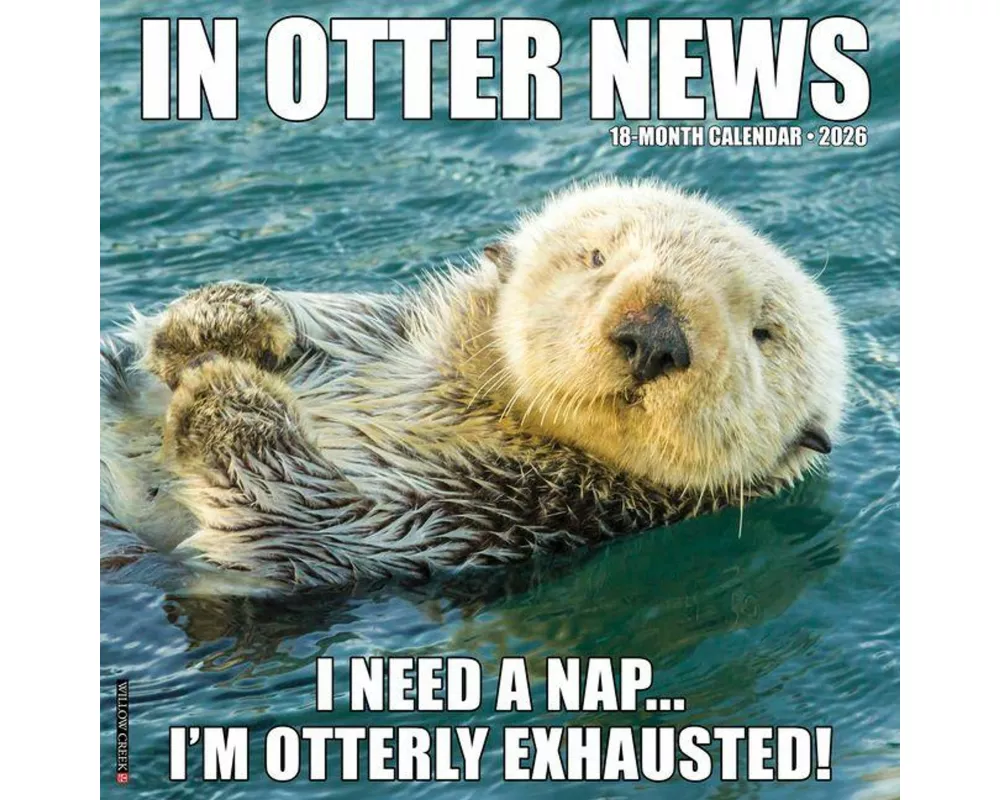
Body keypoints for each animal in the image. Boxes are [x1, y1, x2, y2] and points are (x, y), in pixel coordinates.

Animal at [100, 178, 847, 591]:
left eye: (764, 332)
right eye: (597, 257)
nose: (655, 336)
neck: (481, 409)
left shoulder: (466, 519)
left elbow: (298, 514)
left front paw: (226, 396)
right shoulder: (379, 340)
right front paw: (222, 320)